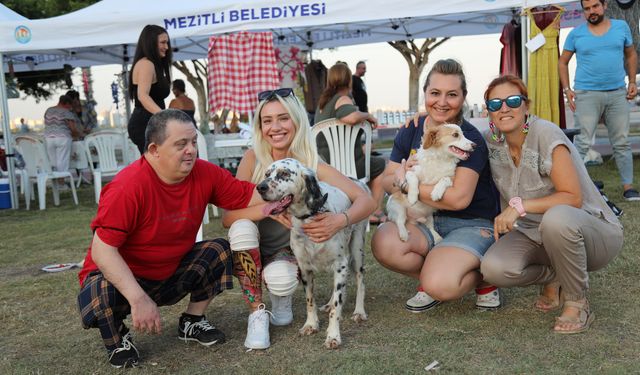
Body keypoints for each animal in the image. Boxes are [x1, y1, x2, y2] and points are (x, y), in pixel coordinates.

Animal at [254, 159, 364, 350]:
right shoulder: (305, 268)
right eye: (267, 174)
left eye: (284, 173)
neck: (307, 218)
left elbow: (337, 306)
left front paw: (333, 335)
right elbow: (310, 300)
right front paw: (311, 325)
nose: (260, 187)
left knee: (360, 280)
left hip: (357, 250)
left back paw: (359, 311)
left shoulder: (340, 264)